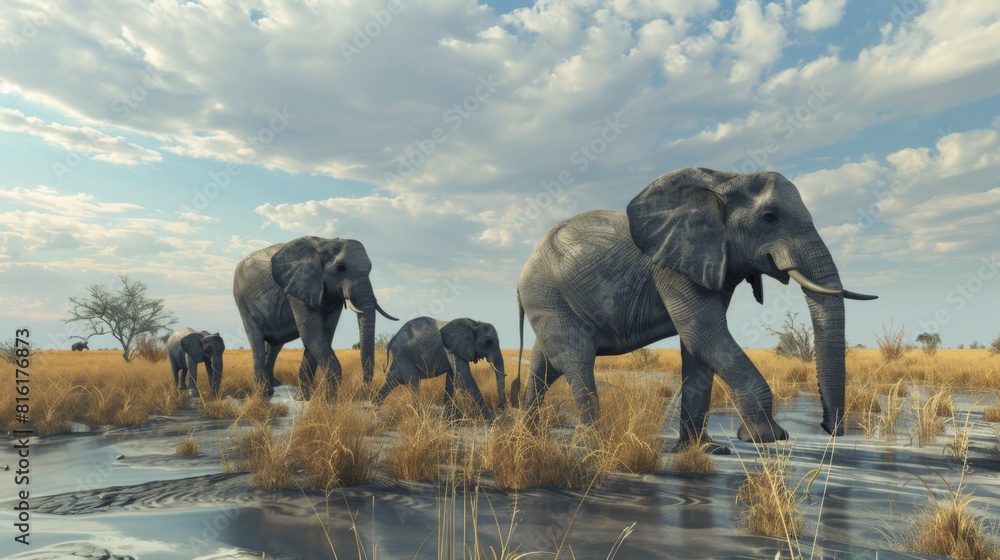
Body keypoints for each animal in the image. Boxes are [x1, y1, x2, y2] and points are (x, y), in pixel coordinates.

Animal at [233, 236, 398, 398]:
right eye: (341, 268)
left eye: (370, 269)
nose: (364, 384)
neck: (325, 243)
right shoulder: (299, 286)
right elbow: (310, 332)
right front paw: (328, 399)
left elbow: (325, 333)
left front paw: (303, 398)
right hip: (242, 301)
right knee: (256, 339)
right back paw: (265, 393)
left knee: (274, 345)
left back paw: (275, 385)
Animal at [374, 317, 507, 417]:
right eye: (488, 342)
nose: (499, 407)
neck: (475, 323)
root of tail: (393, 338)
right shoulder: (451, 348)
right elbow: (464, 377)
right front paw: (489, 417)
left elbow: (453, 378)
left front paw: (450, 415)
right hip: (404, 355)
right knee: (413, 382)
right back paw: (419, 415)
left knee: (392, 380)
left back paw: (375, 406)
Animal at [513, 167, 876, 452]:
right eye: (769, 218)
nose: (829, 429)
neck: (723, 181)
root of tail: (520, 277)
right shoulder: (674, 267)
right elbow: (705, 335)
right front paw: (766, 438)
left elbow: (698, 349)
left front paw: (704, 450)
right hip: (547, 295)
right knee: (576, 362)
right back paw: (594, 445)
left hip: (549, 301)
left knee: (545, 365)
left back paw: (527, 437)